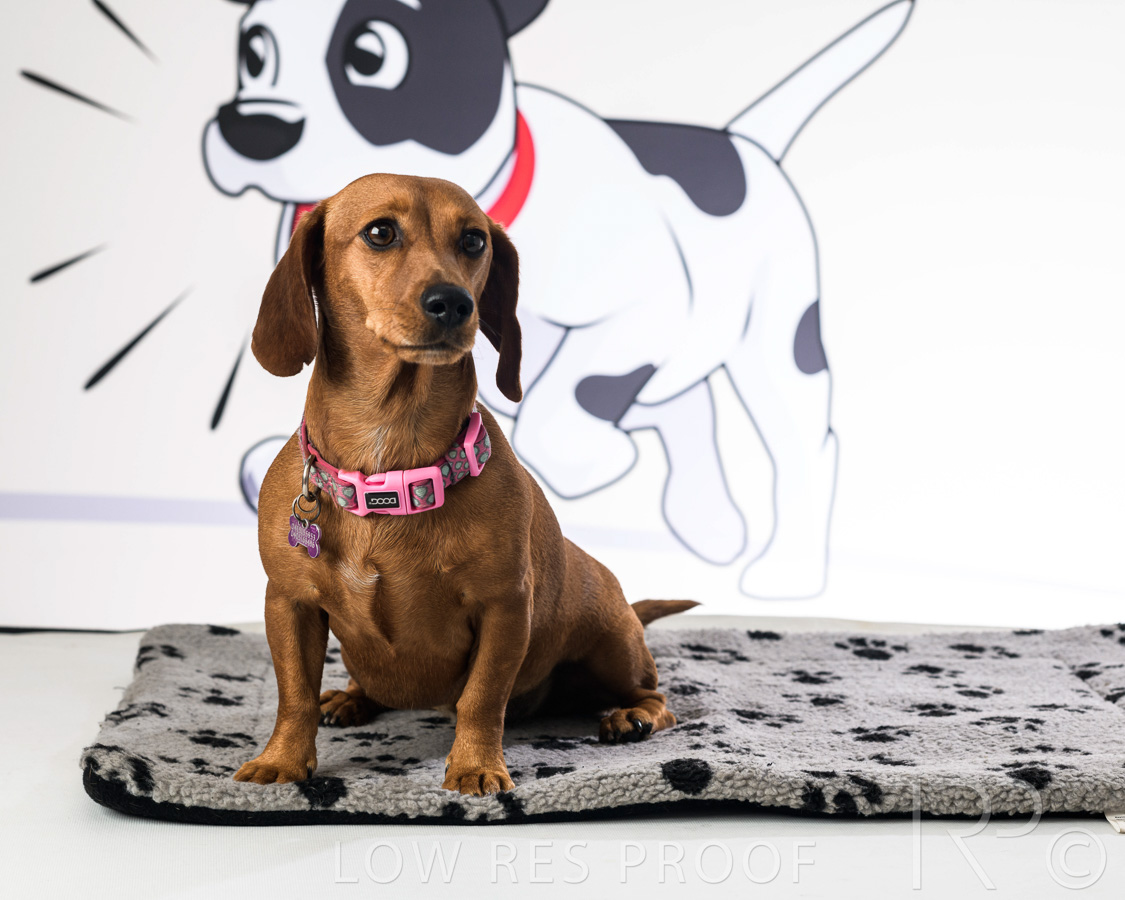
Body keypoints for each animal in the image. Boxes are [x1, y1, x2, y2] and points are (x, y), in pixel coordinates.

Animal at [205, 0, 914, 598]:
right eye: (254, 51)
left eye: (371, 55)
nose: (255, 127)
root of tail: (739, 143)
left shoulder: (640, 315)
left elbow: (557, 413)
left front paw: (594, 453)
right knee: (687, 411)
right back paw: (707, 519)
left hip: (777, 347)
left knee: (805, 445)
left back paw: (785, 567)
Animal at [233, 173, 698, 794]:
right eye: (380, 232)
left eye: (474, 240)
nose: (454, 302)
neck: (390, 466)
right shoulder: (290, 604)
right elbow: (294, 695)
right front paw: (282, 759)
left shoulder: (504, 608)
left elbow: (482, 698)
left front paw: (476, 766)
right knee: (361, 687)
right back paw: (350, 699)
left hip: (613, 645)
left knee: (657, 695)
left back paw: (631, 717)